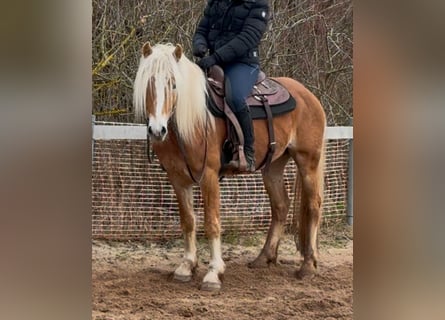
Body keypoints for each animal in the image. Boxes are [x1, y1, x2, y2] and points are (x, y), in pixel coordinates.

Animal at [134, 43, 324, 292]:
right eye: (148, 84)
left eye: (174, 84)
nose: (157, 130)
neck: (192, 121)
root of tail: (308, 95)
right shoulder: (178, 178)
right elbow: (188, 221)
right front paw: (186, 266)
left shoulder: (209, 175)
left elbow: (212, 222)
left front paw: (213, 273)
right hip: (273, 166)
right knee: (280, 205)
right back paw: (264, 258)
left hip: (307, 160)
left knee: (313, 206)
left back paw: (308, 266)